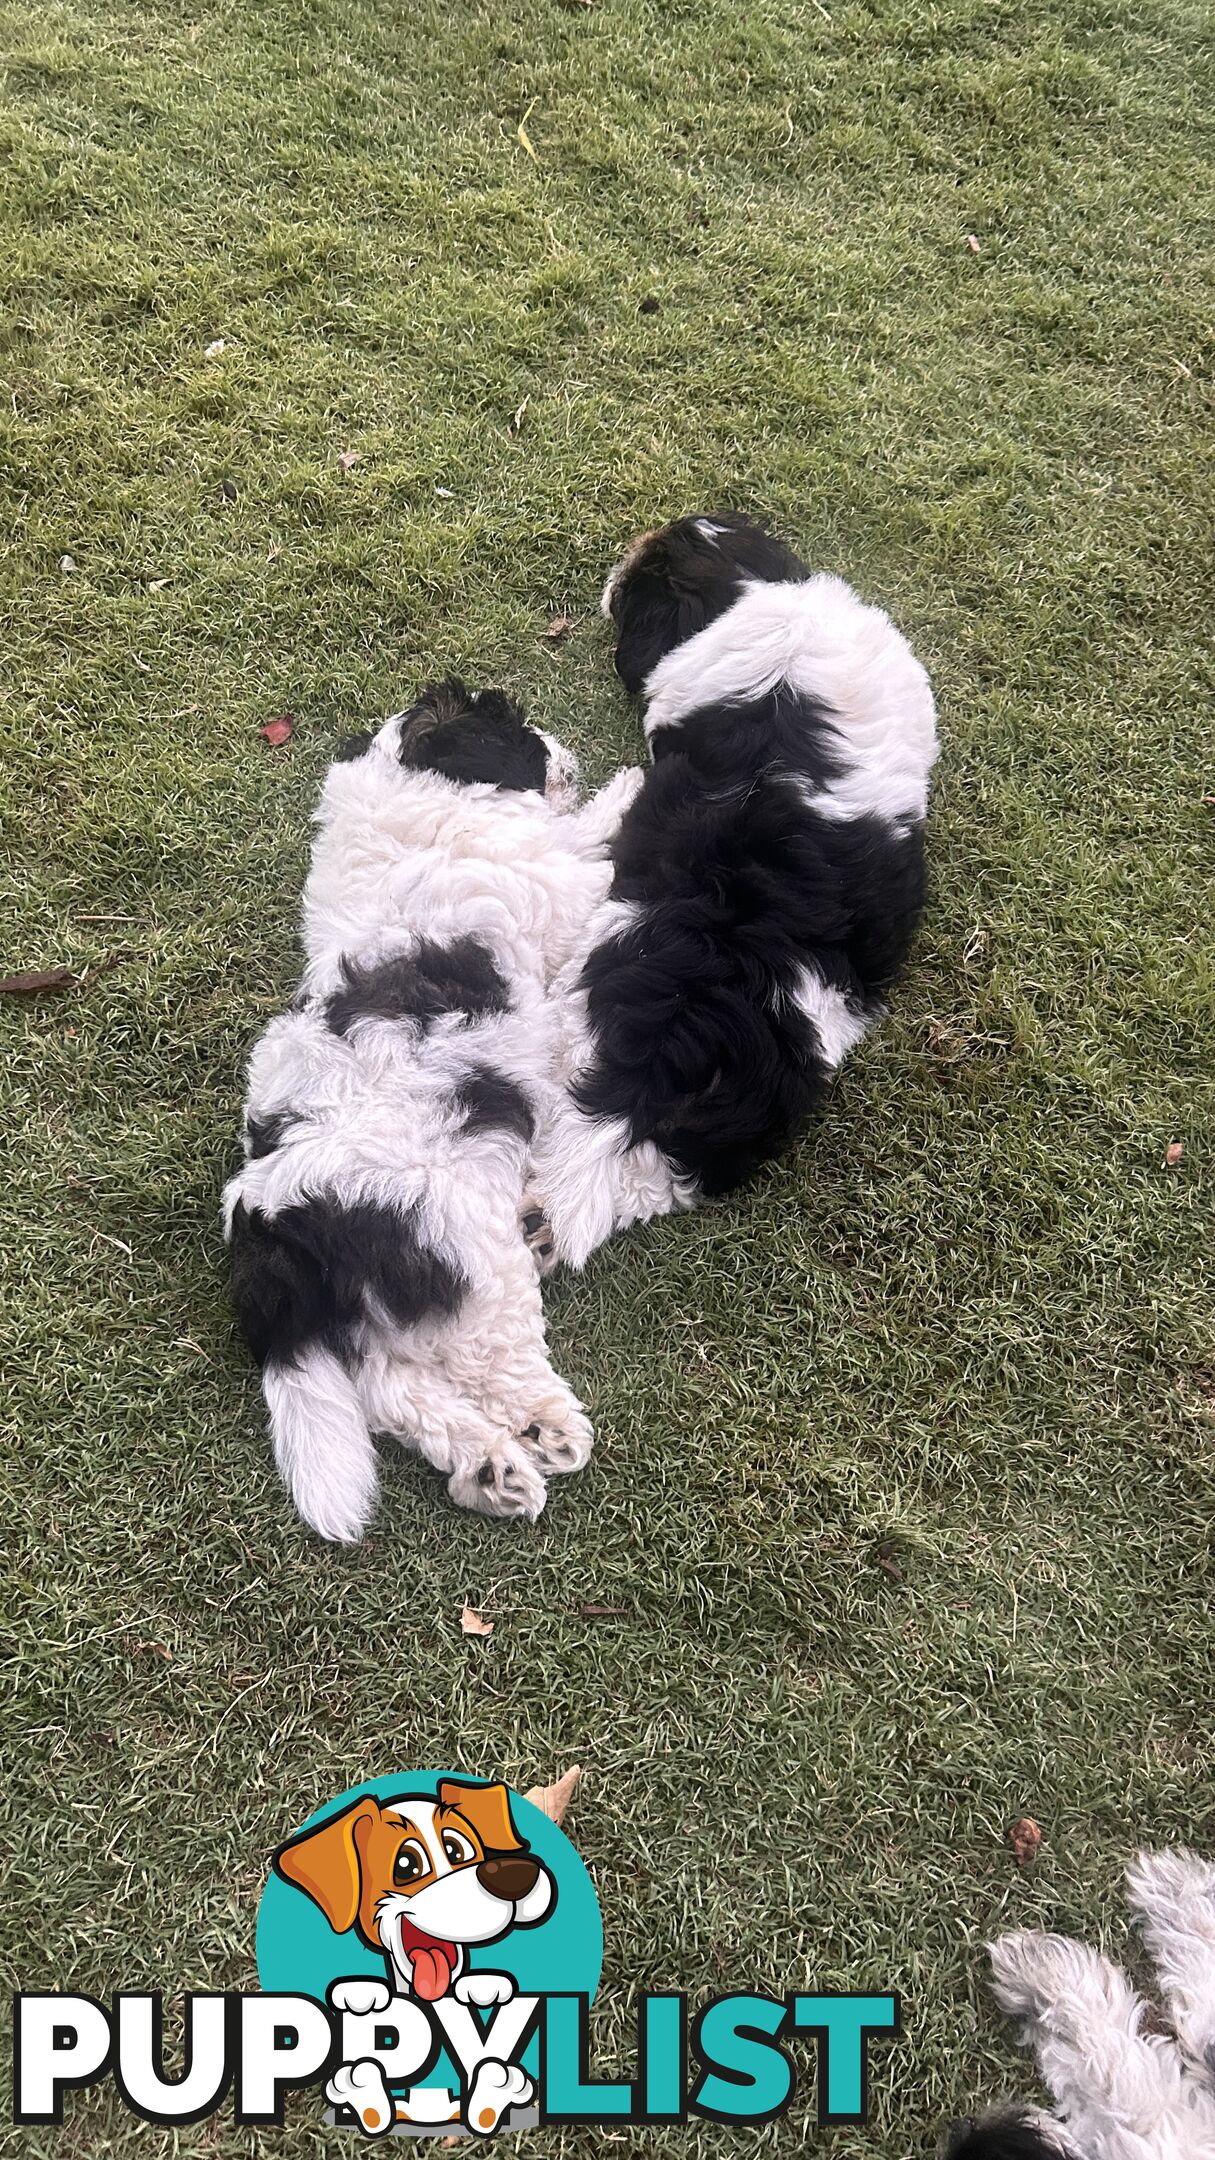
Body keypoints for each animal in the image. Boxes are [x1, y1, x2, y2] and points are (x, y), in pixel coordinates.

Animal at [222, 673, 635, 1537]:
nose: (567, 757)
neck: (416, 796)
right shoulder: (557, 886)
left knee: (387, 1389)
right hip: (467, 1255)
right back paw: (545, 1429)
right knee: (491, 1356)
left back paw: (489, 1471)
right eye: (517, 732)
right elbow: (588, 844)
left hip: (375, 1310)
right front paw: (628, 787)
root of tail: (271, 1220)